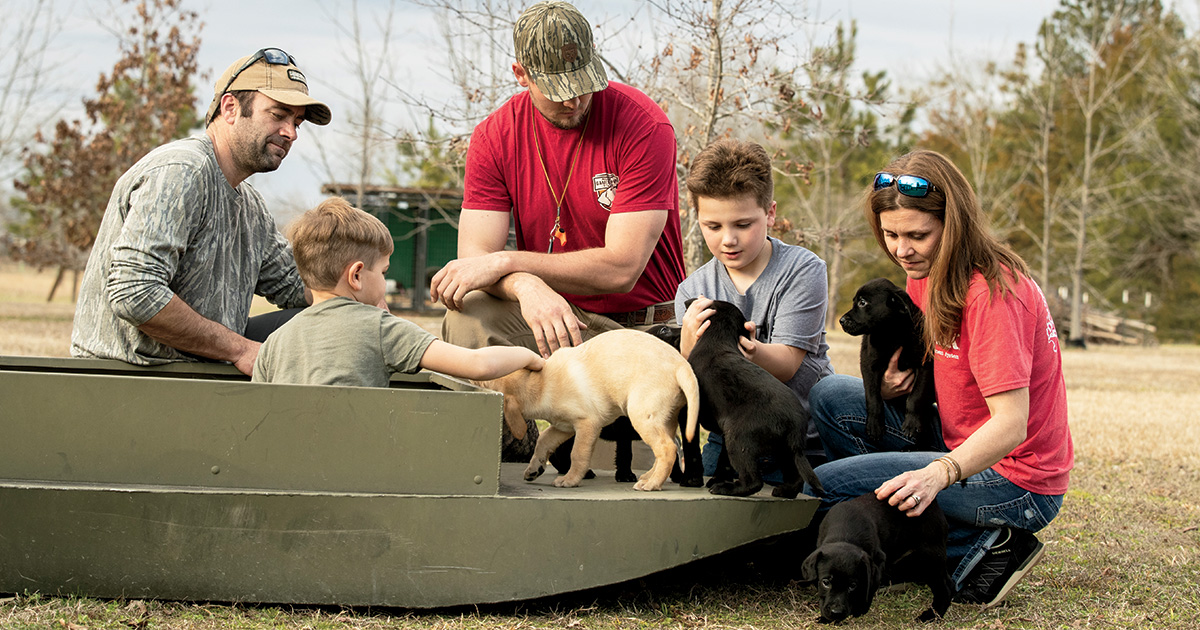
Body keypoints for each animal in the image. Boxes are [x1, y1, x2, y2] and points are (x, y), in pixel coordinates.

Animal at [480, 328, 700, 492]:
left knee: (667, 448)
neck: (541, 382)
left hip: (643, 415)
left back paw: (652, 483)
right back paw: (649, 476)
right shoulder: (563, 427)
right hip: (666, 419)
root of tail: (681, 364)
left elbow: (577, 454)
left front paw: (570, 480)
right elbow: (543, 442)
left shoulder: (587, 424)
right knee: (670, 446)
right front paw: (534, 469)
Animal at [691, 297, 820, 499]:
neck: (718, 338)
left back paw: (726, 489)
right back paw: (784, 491)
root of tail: (796, 424)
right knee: (796, 476)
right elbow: (723, 462)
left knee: (754, 481)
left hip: (738, 439)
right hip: (785, 450)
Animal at [801, 494, 950, 619]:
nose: (836, 613)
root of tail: (933, 503)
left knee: (947, 585)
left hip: (930, 556)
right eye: (825, 582)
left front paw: (860, 609)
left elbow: (868, 588)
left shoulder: (877, 562)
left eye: (852, 585)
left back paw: (932, 615)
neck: (845, 534)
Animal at [840, 276, 940, 446]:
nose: (841, 320)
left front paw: (912, 423)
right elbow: (873, 397)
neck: (892, 333)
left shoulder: (924, 365)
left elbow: (916, 397)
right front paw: (874, 425)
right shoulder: (869, 365)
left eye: (862, 302)